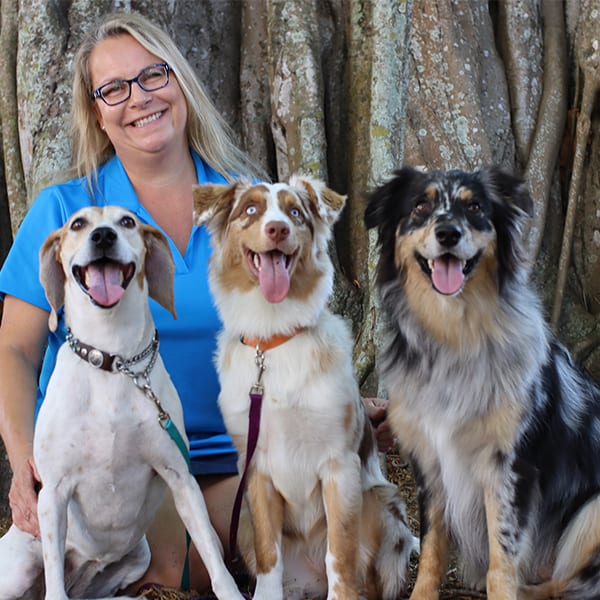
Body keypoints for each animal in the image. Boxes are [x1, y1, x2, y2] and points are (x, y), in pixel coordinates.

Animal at [0, 206, 246, 600]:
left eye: (127, 221)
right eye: (78, 224)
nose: (103, 236)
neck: (113, 358)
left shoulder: (181, 478)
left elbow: (213, 554)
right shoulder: (53, 494)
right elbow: (54, 579)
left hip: (138, 558)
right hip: (20, 567)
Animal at [193, 177, 418, 600]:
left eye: (294, 212)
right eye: (250, 209)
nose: (277, 229)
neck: (273, 337)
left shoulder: (340, 468)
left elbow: (341, 555)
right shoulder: (256, 471)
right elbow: (269, 553)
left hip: (381, 501)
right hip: (241, 520)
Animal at [366, 165, 600, 600]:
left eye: (474, 207)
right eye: (420, 206)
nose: (448, 233)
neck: (455, 337)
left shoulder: (509, 468)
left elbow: (501, 561)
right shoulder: (431, 463)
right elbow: (432, 550)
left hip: (591, 513)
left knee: (562, 585)